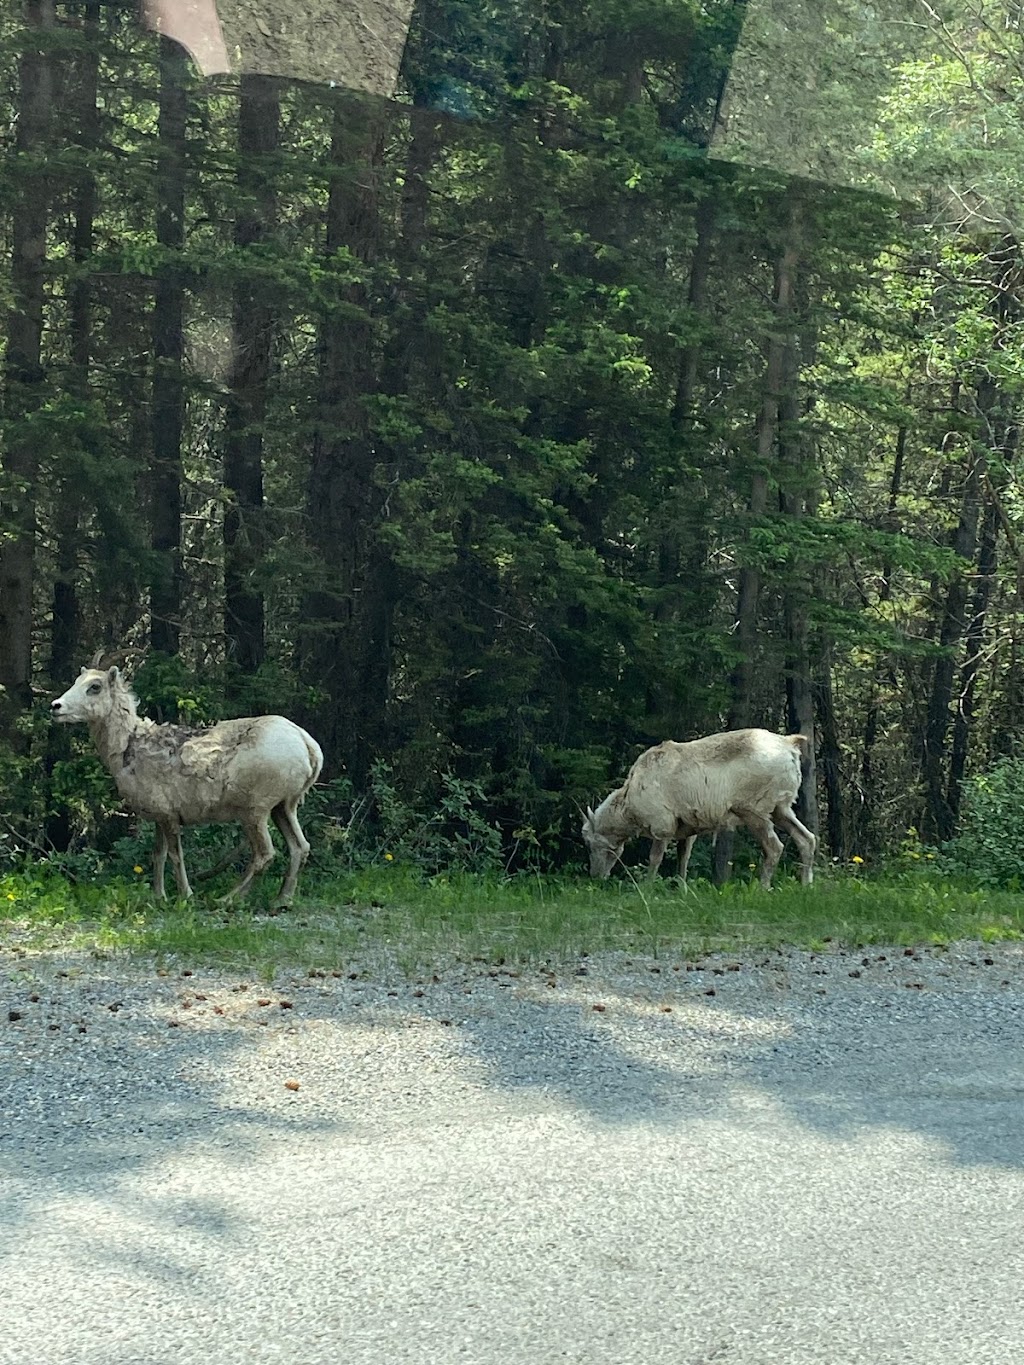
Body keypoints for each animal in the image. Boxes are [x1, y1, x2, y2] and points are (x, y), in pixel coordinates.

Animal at [52, 660, 324, 906]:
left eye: (94, 686)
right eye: (76, 681)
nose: (55, 706)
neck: (126, 752)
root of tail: (309, 747)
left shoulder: (169, 813)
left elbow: (176, 855)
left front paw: (185, 896)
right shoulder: (159, 814)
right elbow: (158, 855)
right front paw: (159, 897)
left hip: (255, 808)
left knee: (265, 854)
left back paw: (226, 899)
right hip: (285, 805)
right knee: (300, 847)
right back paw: (281, 901)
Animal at [584, 731, 819, 889]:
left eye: (591, 843)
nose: (595, 877)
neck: (628, 808)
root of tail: (790, 745)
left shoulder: (662, 825)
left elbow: (655, 858)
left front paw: (647, 888)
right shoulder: (687, 830)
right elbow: (683, 859)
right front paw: (682, 889)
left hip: (754, 811)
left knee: (775, 847)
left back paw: (763, 889)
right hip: (781, 809)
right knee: (807, 839)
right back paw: (806, 886)